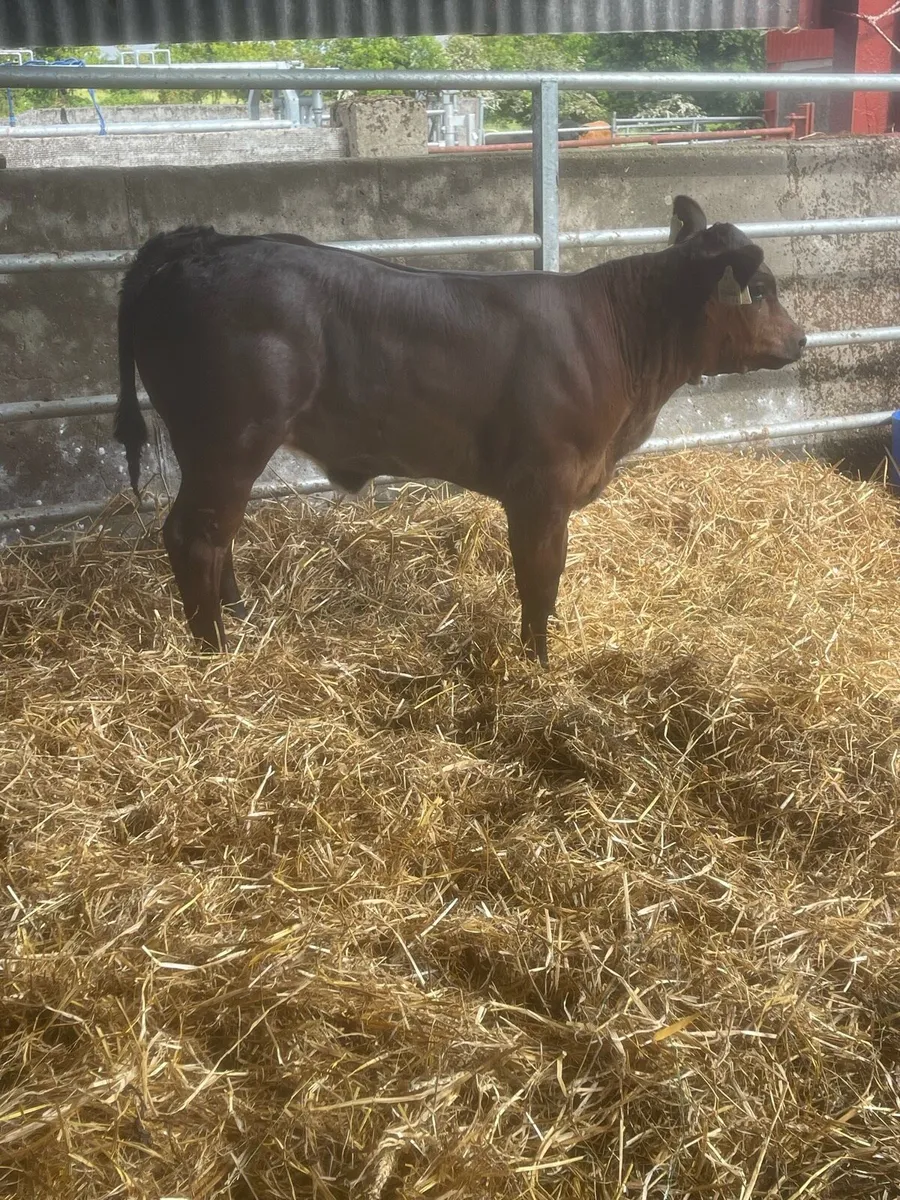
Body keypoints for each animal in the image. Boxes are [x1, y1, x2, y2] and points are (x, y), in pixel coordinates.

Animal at [114, 195, 805, 666]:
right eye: (762, 289)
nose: (802, 339)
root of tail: (203, 244)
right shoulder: (542, 487)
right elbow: (539, 580)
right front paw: (539, 665)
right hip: (229, 439)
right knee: (194, 535)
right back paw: (216, 651)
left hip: (222, 449)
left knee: (216, 534)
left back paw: (242, 615)